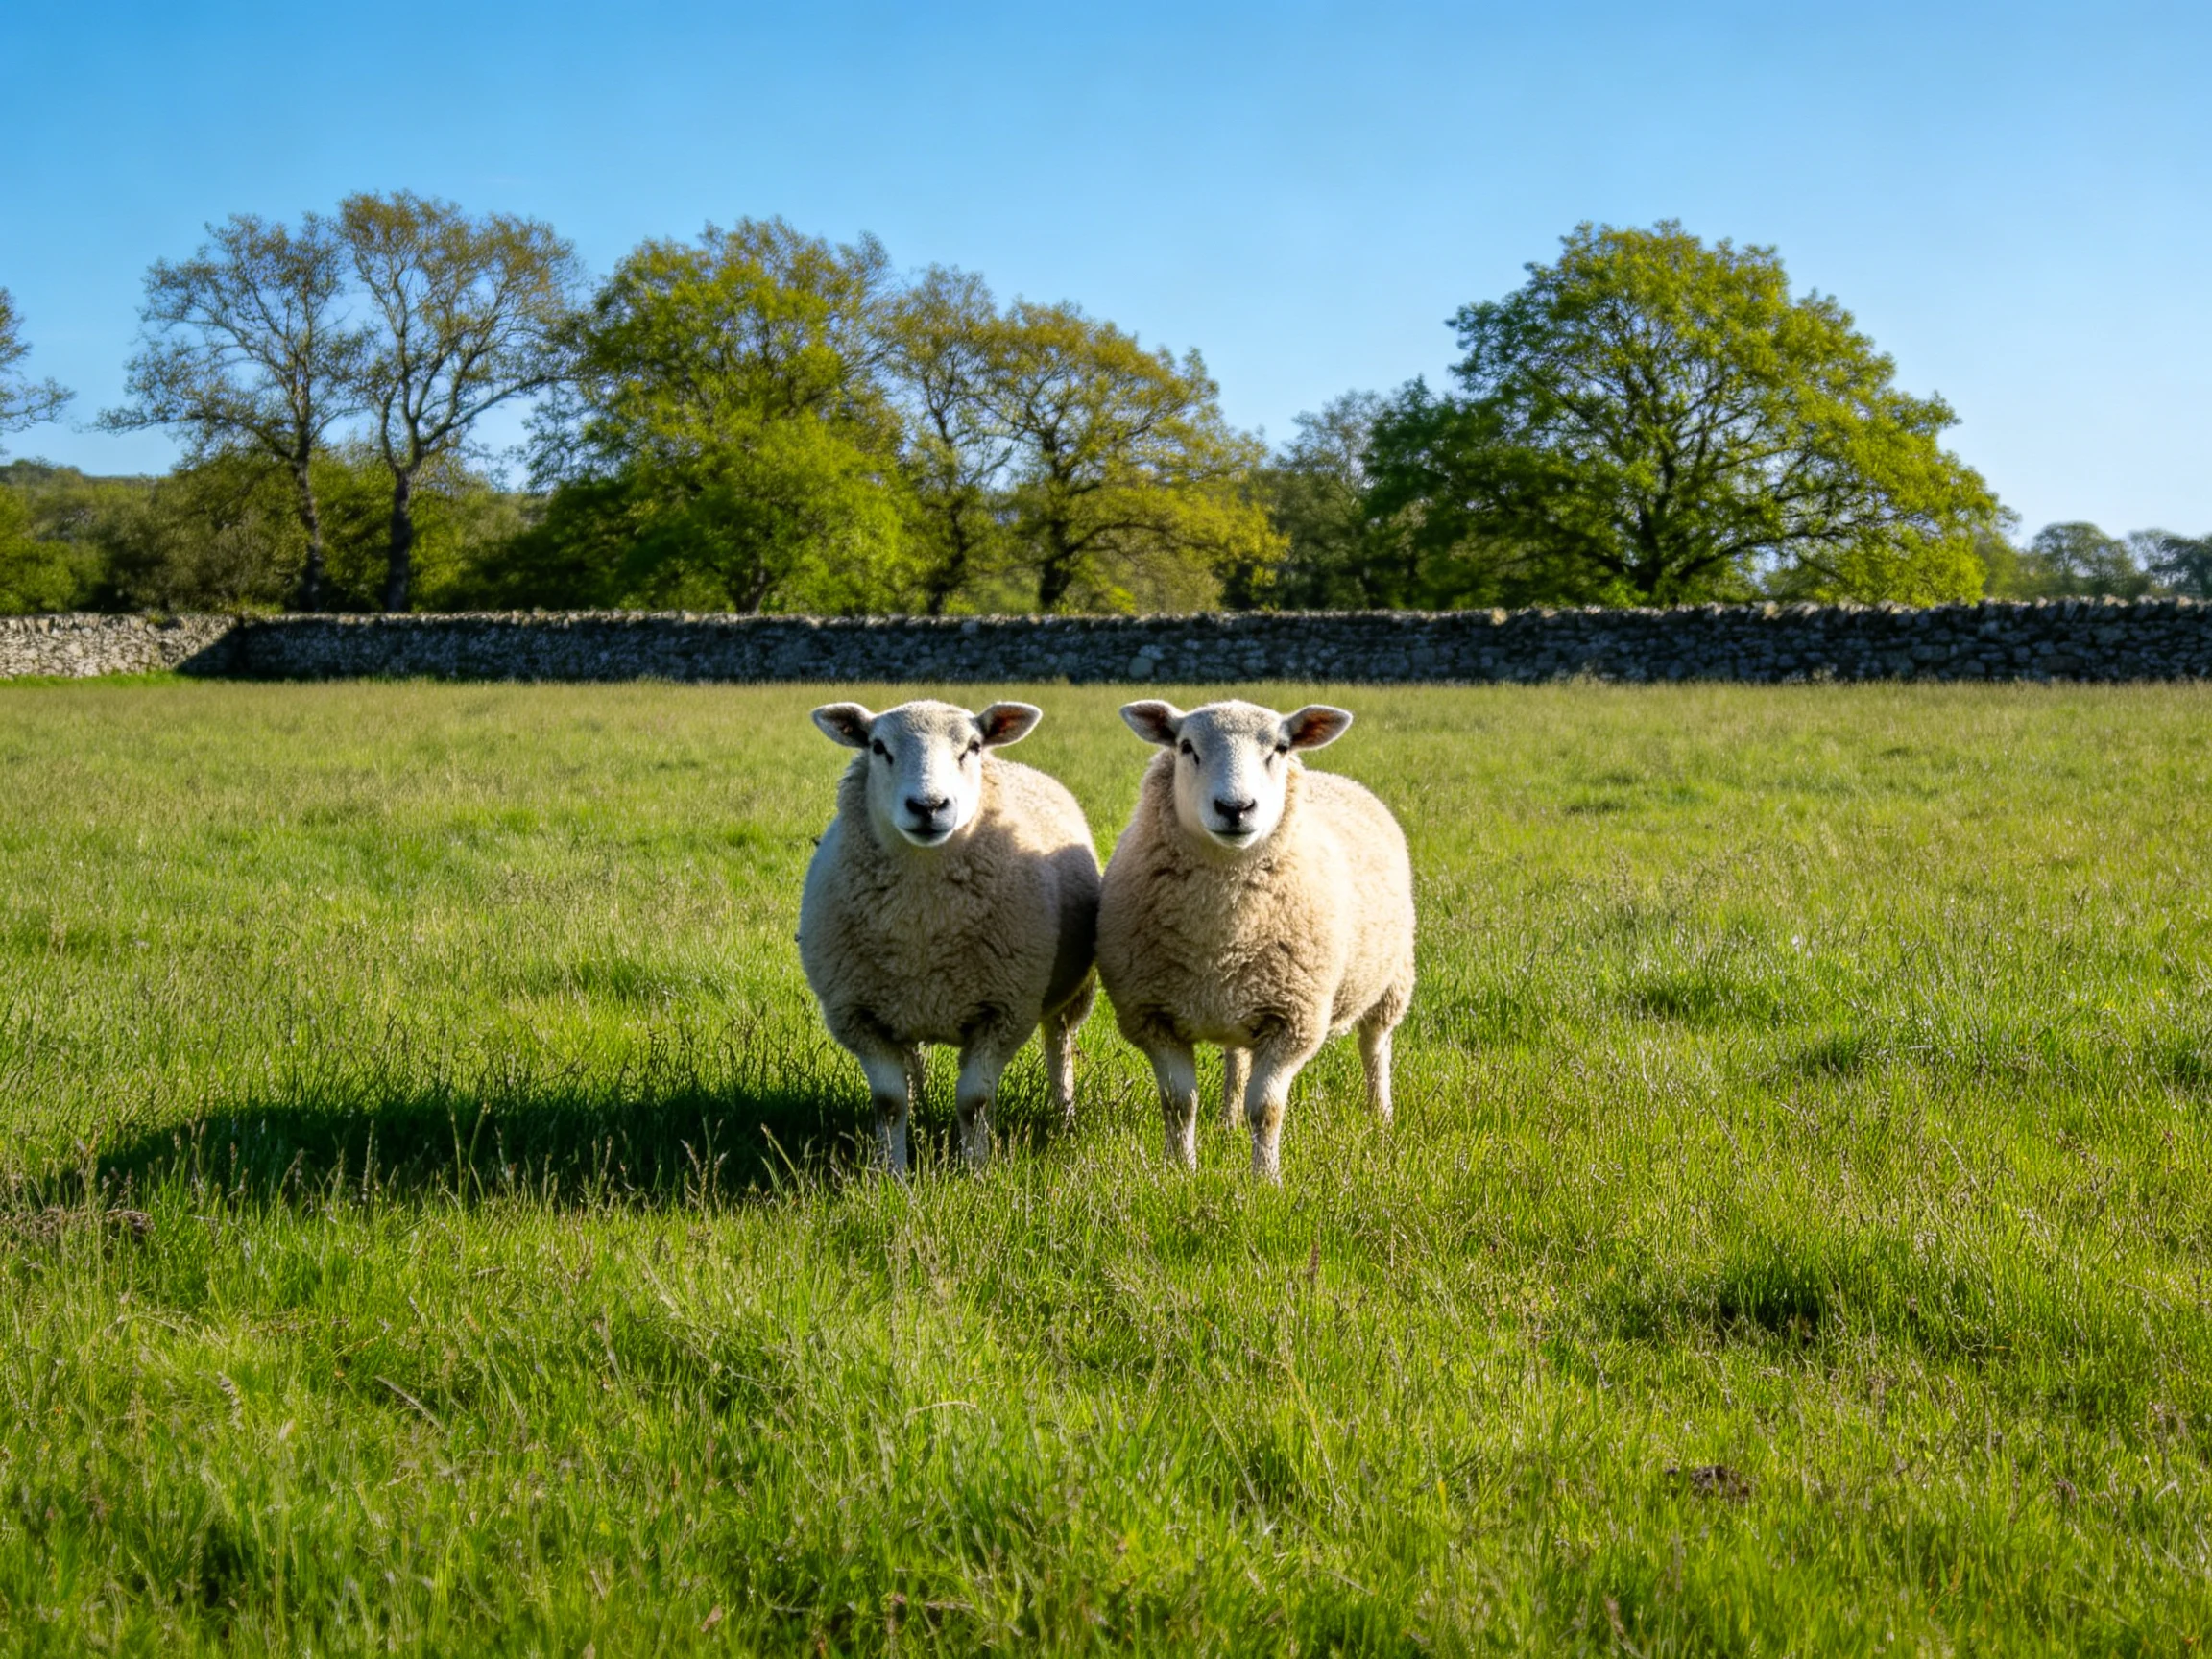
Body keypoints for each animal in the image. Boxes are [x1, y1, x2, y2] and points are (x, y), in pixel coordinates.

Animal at [799, 698, 1100, 1174]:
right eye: (878, 747)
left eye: (972, 747)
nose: (928, 805)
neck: (924, 923)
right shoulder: (859, 1016)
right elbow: (889, 1103)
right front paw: (892, 1174)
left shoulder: (1002, 1012)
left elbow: (974, 1101)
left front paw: (976, 1171)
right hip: (901, 1006)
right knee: (912, 1066)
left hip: (1071, 993)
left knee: (1059, 1044)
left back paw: (1064, 1114)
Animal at [1096, 698, 1415, 1180]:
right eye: (1186, 747)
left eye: (1280, 748)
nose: (1235, 807)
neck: (1222, 935)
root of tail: (1339, 778)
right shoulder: (1154, 1016)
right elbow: (1179, 1104)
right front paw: (1180, 1172)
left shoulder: (1293, 1021)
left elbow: (1265, 1110)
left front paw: (1265, 1179)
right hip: (1237, 1000)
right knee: (1236, 1058)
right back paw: (1227, 1119)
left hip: (1392, 978)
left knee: (1375, 1046)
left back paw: (1381, 1115)